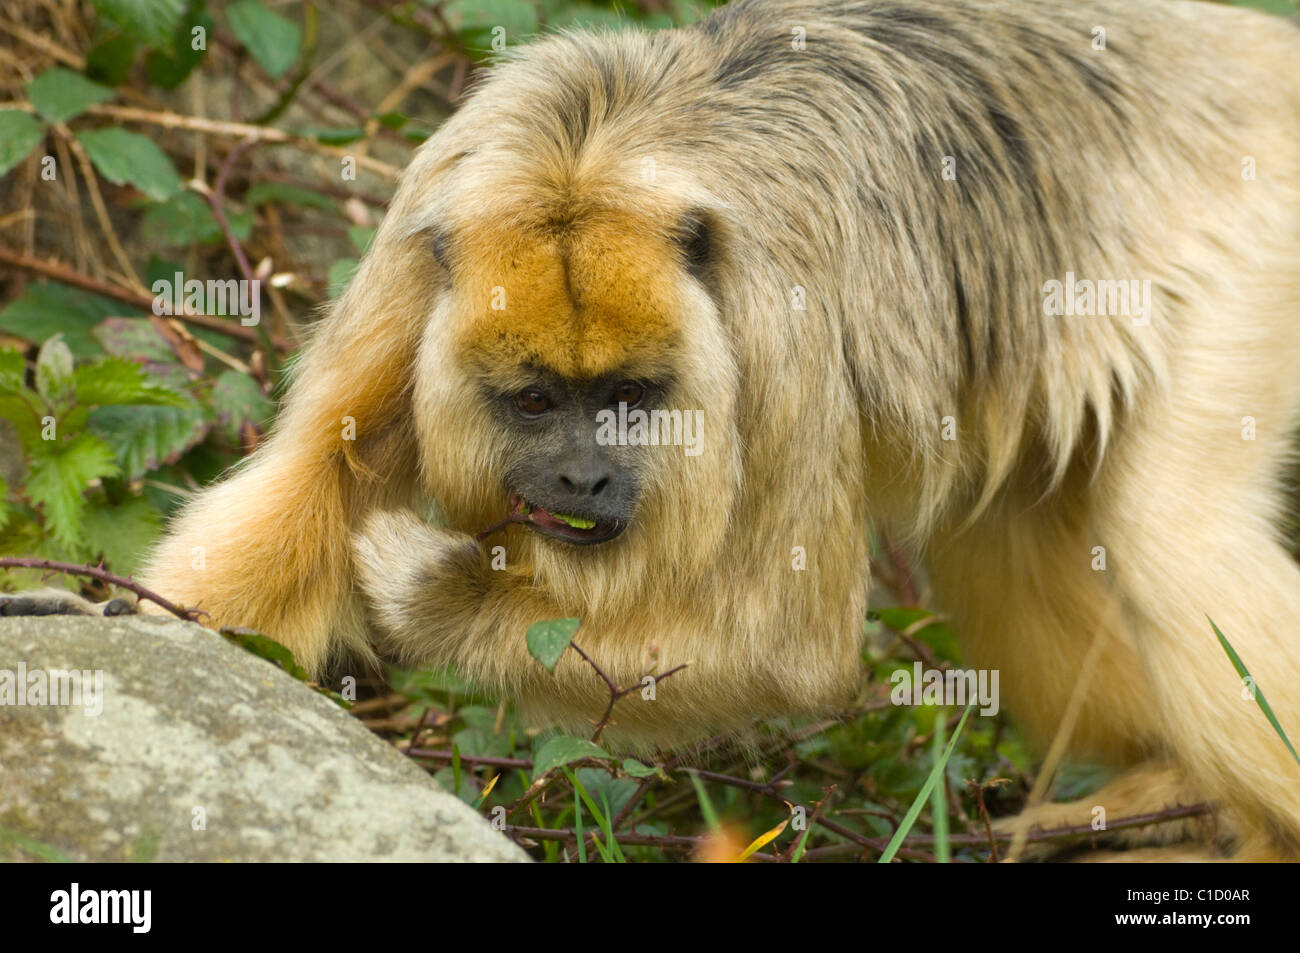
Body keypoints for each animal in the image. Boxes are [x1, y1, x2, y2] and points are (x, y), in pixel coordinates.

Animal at [130, 0, 1300, 860]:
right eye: (535, 402)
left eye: (631, 397)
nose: (584, 480)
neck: (597, 152)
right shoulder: (425, 235)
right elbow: (318, 468)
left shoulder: (778, 320)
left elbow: (787, 643)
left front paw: (422, 584)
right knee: (1011, 527)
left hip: (1260, 231)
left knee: (1167, 534)